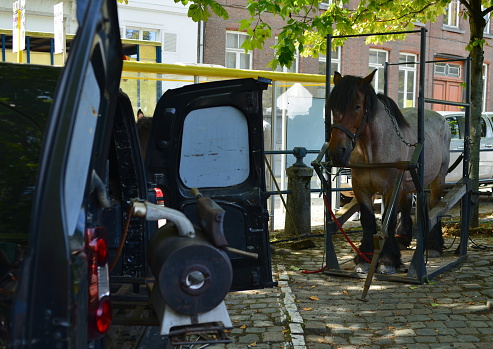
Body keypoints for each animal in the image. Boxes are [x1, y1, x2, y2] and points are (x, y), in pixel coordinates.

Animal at [326, 69, 450, 274]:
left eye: (357, 106)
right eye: (332, 107)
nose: (337, 152)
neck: (371, 151)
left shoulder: (391, 189)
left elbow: (388, 220)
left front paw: (388, 261)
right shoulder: (361, 189)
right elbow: (368, 221)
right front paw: (364, 258)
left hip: (438, 179)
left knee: (435, 206)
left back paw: (433, 246)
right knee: (408, 205)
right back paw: (403, 239)